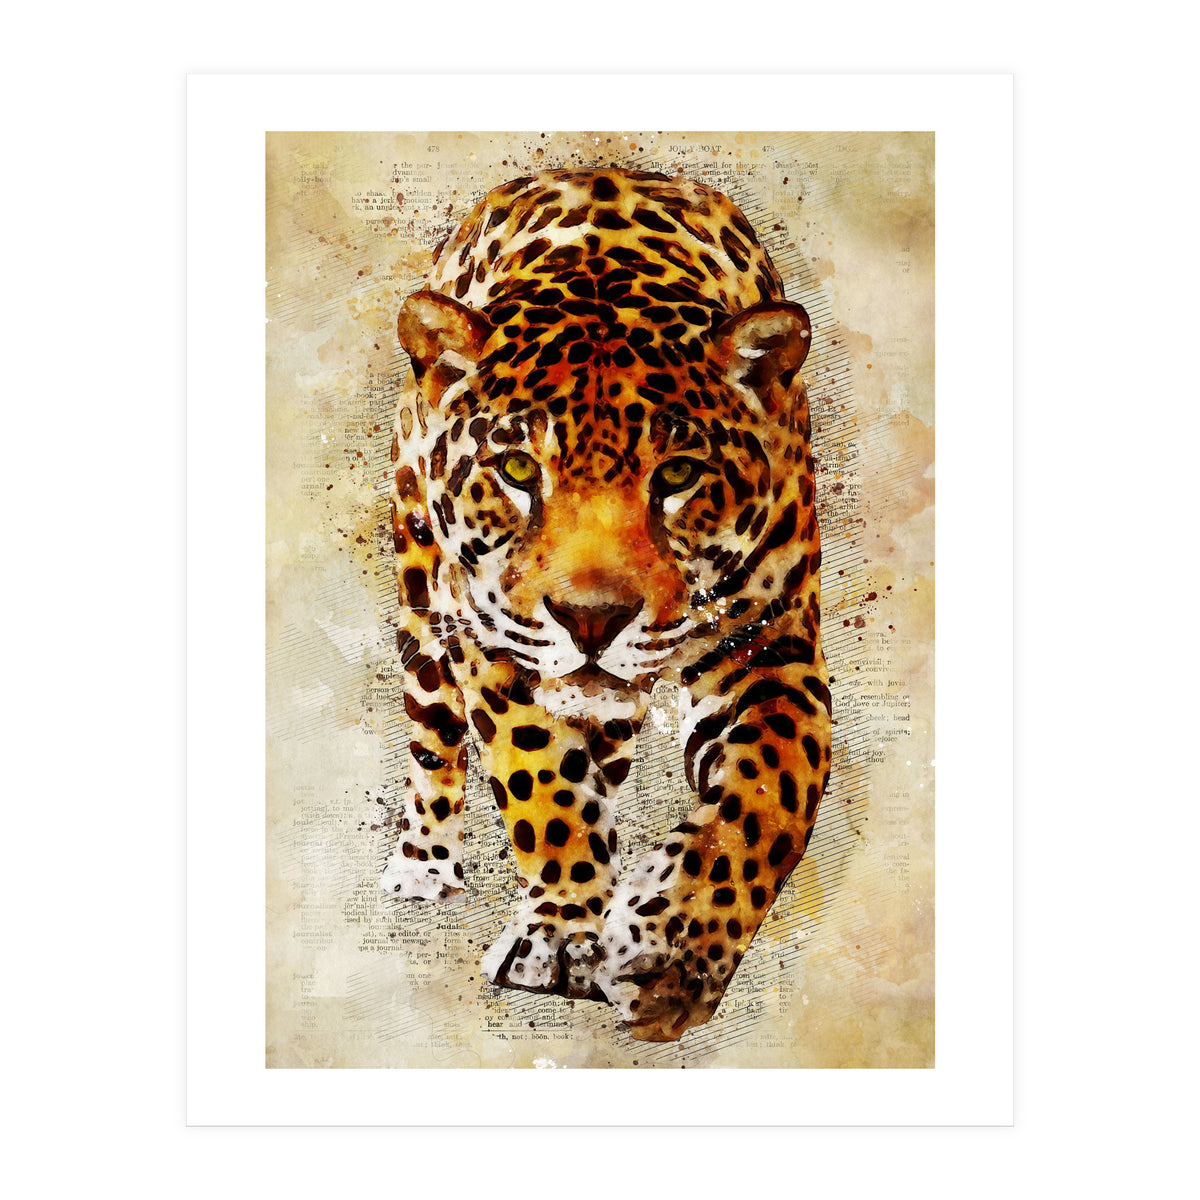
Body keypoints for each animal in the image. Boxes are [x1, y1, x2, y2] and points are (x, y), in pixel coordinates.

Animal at [381, 167, 831, 1042]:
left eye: (679, 474)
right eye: (518, 469)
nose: (591, 619)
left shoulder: (773, 645)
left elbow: (770, 794)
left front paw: (671, 952)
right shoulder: (495, 641)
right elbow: (540, 779)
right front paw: (562, 933)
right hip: (423, 597)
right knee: (433, 734)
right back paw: (423, 864)